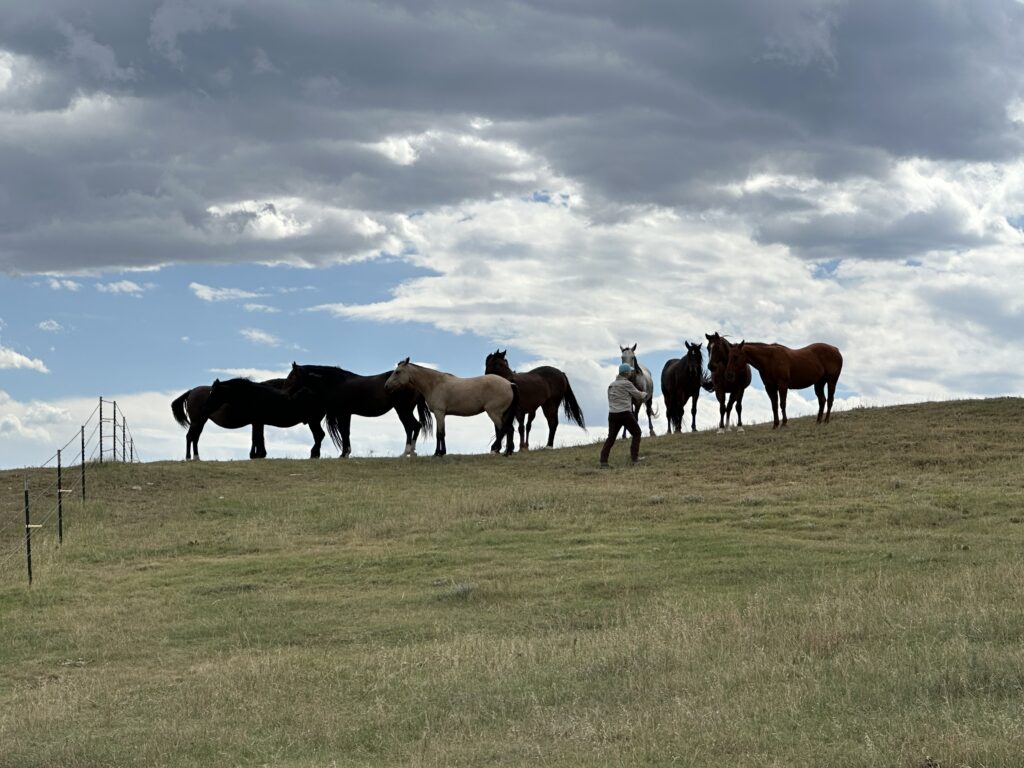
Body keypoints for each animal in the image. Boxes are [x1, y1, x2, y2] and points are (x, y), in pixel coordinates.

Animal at [171, 378, 326, 460]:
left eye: (215, 393)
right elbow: (257, 438)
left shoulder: (257, 421)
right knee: (192, 437)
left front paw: (257, 455)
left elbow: (257, 437)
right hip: (198, 422)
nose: (206, 407)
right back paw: (191, 457)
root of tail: (191, 391)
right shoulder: (257, 421)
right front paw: (258, 454)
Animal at [282, 363, 433, 457]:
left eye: (292, 376)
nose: (284, 393)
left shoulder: (342, 413)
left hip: (402, 410)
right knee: (416, 426)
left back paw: (407, 452)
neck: (335, 383)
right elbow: (346, 432)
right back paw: (412, 452)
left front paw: (344, 454)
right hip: (406, 410)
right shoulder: (346, 414)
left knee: (410, 426)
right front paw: (346, 452)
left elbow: (344, 432)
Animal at [384, 358, 519, 456]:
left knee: (504, 429)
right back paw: (508, 451)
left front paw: (438, 453)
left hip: (494, 413)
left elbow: (440, 434)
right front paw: (440, 452)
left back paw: (496, 450)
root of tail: (509, 384)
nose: (386, 386)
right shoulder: (440, 414)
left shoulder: (439, 413)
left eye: (397, 372)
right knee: (509, 430)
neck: (434, 384)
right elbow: (441, 433)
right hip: (502, 413)